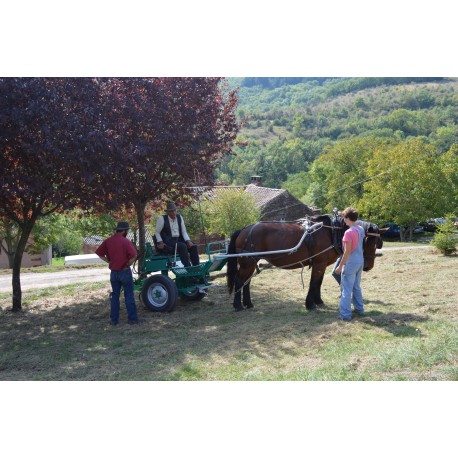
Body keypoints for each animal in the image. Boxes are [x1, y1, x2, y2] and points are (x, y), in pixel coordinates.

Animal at [227, 215, 384, 312]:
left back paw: (248, 303)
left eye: (377, 242)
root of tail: (244, 230)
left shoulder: (321, 265)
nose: (368, 266)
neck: (331, 232)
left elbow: (319, 283)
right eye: (370, 241)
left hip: (250, 263)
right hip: (247, 263)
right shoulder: (319, 263)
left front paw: (319, 301)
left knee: (246, 282)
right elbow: (313, 283)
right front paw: (310, 304)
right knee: (239, 281)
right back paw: (238, 305)